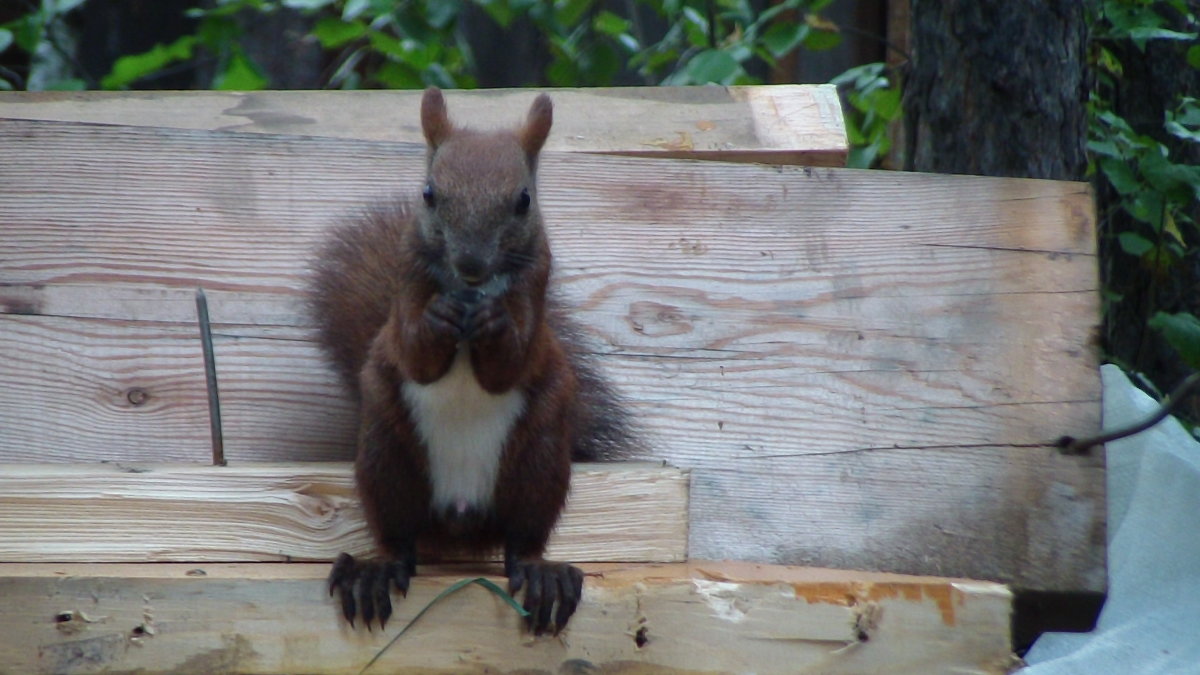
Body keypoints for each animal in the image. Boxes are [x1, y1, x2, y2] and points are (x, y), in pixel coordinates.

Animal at [309, 86, 638, 634]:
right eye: (428, 194)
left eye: (524, 200)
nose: (470, 264)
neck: (470, 292)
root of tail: (460, 517)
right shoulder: (405, 291)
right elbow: (415, 355)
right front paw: (438, 320)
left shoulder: (535, 289)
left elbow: (511, 362)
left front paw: (495, 324)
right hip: (386, 456)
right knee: (398, 538)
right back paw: (375, 572)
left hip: (538, 462)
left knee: (522, 540)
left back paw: (542, 574)